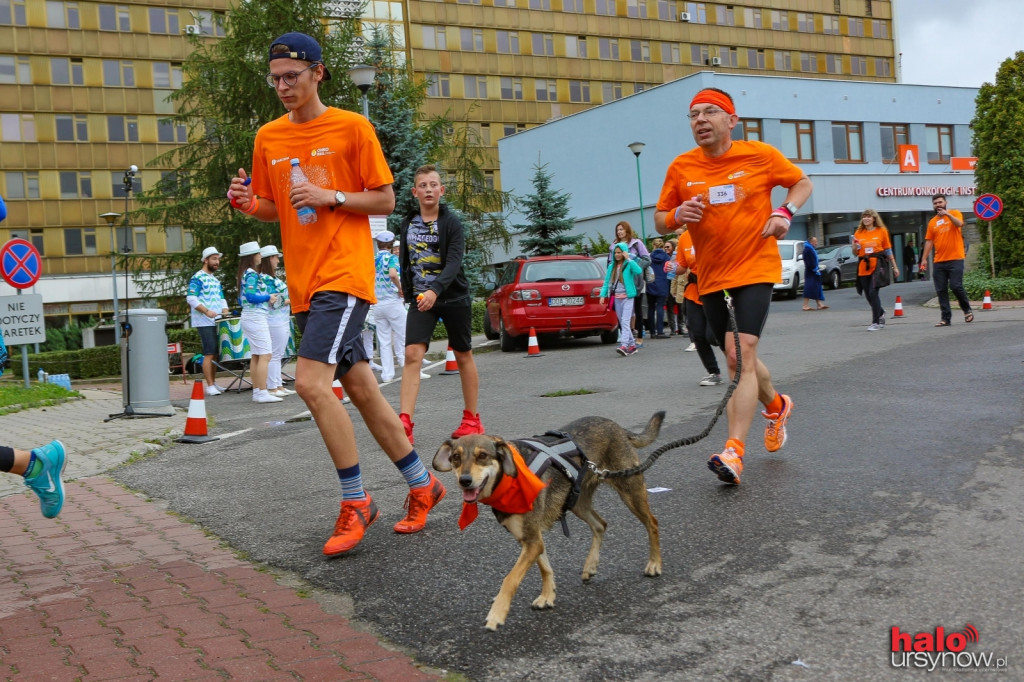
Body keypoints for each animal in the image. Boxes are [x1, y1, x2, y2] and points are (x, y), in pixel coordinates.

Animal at [432, 409, 663, 626]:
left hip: (630, 490)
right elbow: (545, 568)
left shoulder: (532, 540)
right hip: (577, 502)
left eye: (482, 456)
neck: (508, 479)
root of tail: (617, 426)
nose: (465, 480)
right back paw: (590, 566)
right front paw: (547, 596)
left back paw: (654, 564)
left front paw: (497, 613)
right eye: (455, 458)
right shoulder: (530, 539)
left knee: (652, 522)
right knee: (601, 524)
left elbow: (510, 579)